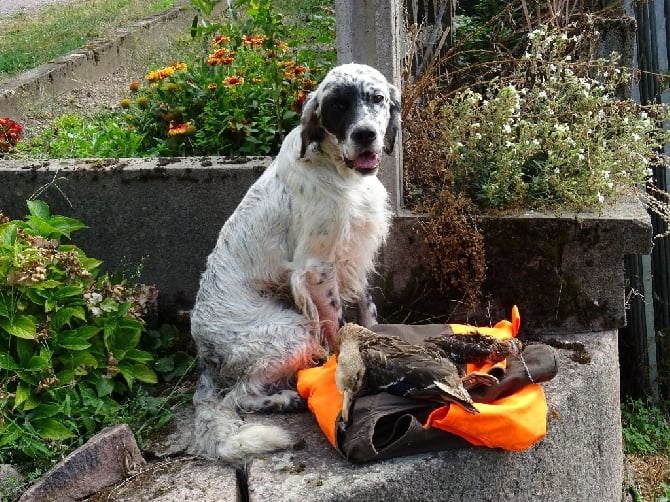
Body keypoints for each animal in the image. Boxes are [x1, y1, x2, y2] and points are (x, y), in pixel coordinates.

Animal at [190, 64, 400, 464]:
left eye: (377, 98)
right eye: (337, 105)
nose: (365, 134)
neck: (339, 171)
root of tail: (205, 358)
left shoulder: (355, 254)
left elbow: (367, 310)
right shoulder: (316, 269)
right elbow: (338, 329)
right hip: (293, 332)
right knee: (238, 396)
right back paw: (285, 400)